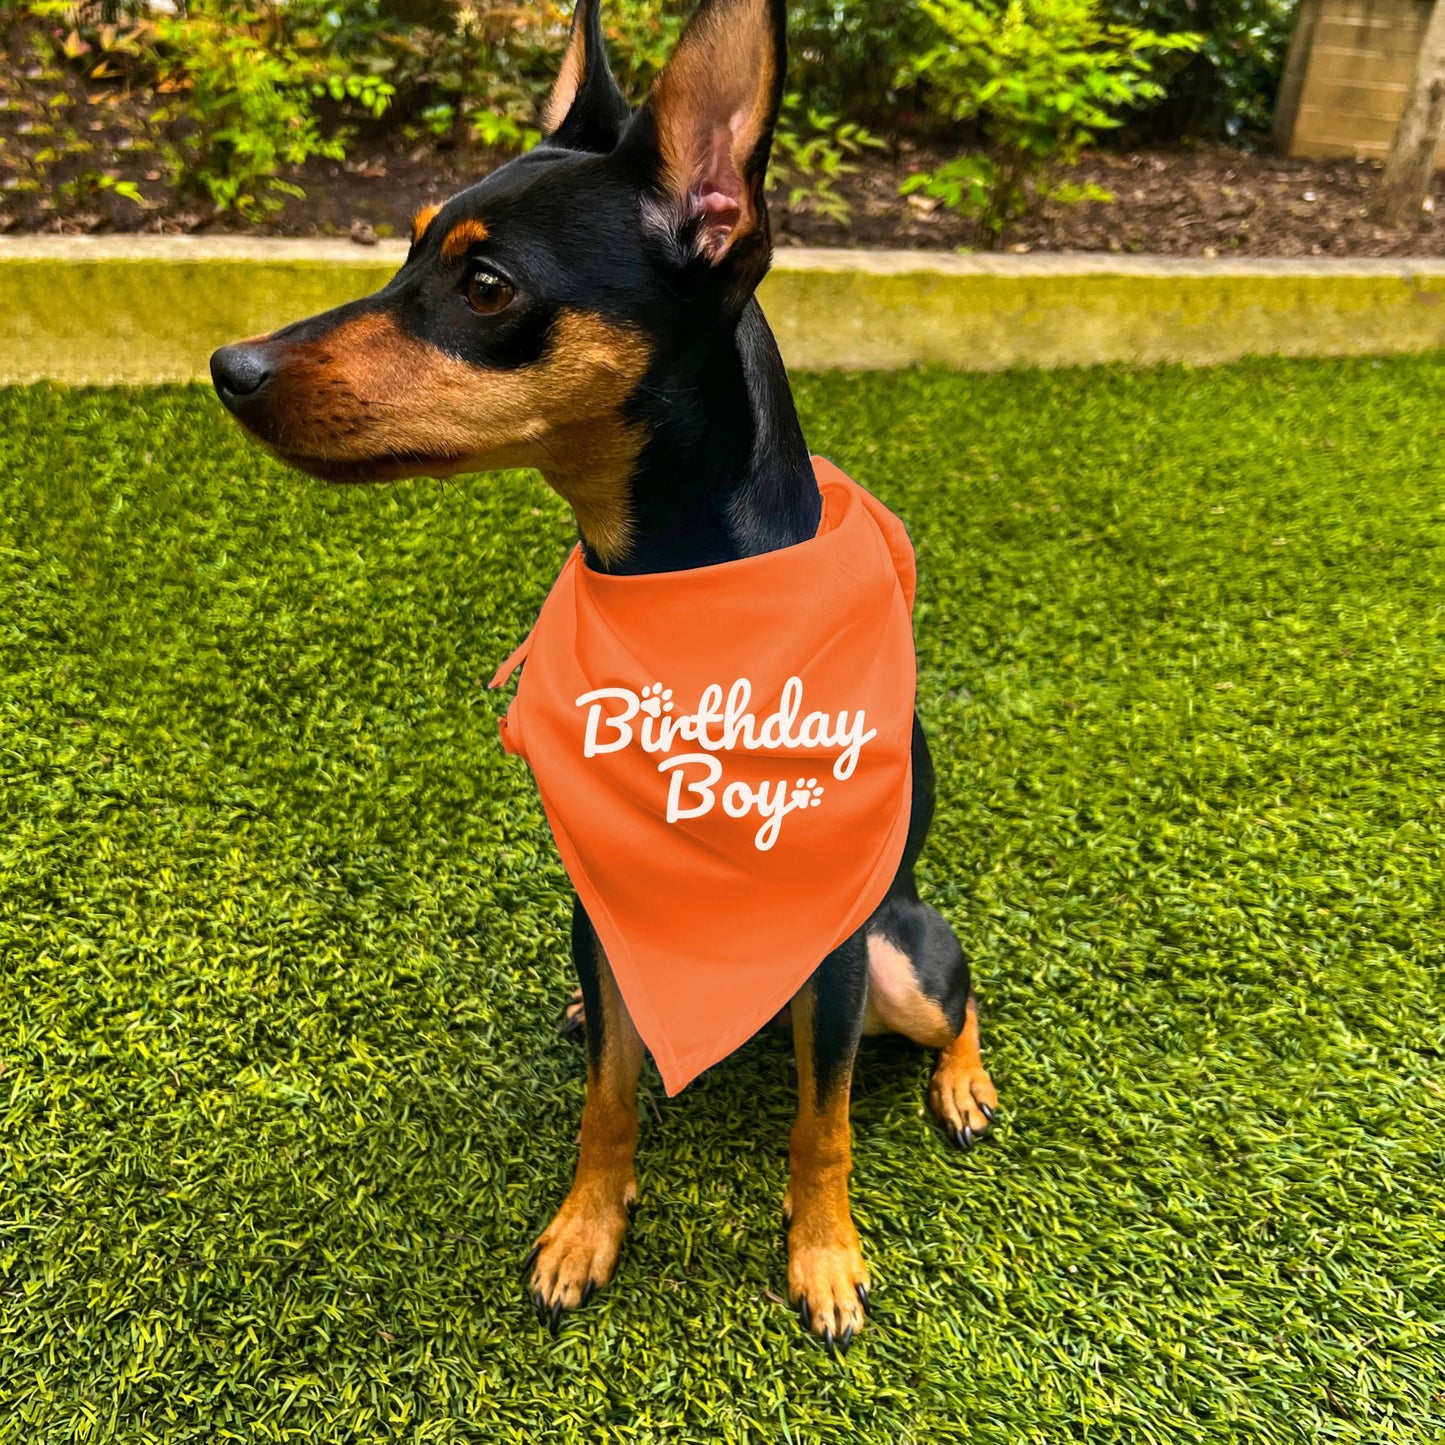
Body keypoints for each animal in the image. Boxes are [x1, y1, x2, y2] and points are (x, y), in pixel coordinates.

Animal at [209, 0, 994, 1352]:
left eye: (485, 286)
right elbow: (610, 1097)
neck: (674, 603)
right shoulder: (602, 894)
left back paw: (963, 1084)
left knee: (961, 1000)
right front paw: (586, 1228)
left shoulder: (835, 953)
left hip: (901, 954)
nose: (231, 367)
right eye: (406, 250)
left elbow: (823, 1121)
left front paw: (825, 1256)